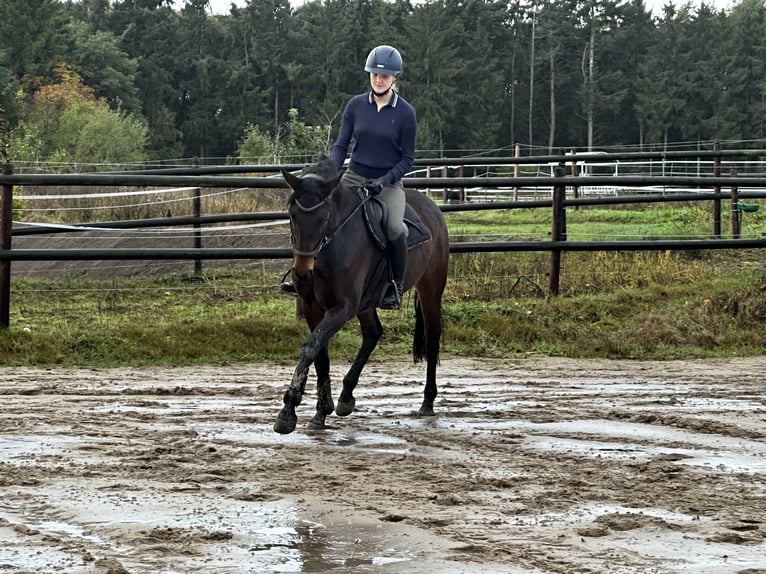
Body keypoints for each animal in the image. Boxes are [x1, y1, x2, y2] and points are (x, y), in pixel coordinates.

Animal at [273, 156, 449, 434]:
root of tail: (431, 207)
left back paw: (427, 402)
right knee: (373, 332)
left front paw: (288, 410)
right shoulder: (313, 306)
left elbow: (311, 347)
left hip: (430, 289)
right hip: (367, 301)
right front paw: (320, 412)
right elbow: (319, 353)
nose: (302, 272)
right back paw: (346, 397)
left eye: (324, 217)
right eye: (292, 216)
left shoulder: (342, 307)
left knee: (432, 337)